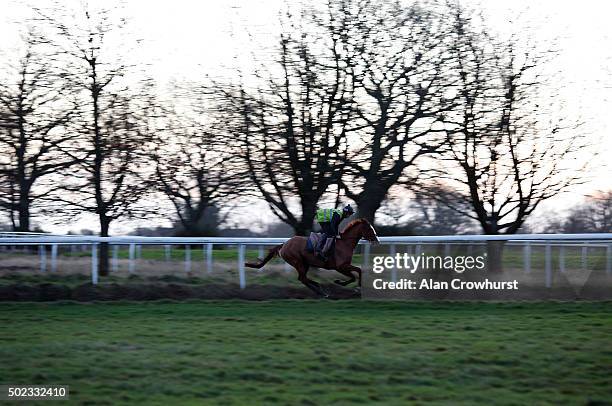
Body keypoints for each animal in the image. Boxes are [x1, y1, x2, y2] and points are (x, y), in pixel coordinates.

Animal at [244, 219, 378, 294]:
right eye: (370, 229)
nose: (377, 240)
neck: (344, 243)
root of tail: (284, 244)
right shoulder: (340, 266)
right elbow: (357, 272)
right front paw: (355, 288)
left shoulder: (342, 267)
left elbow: (356, 274)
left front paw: (341, 283)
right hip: (297, 261)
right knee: (303, 278)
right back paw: (321, 291)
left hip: (305, 263)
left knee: (302, 278)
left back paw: (319, 287)